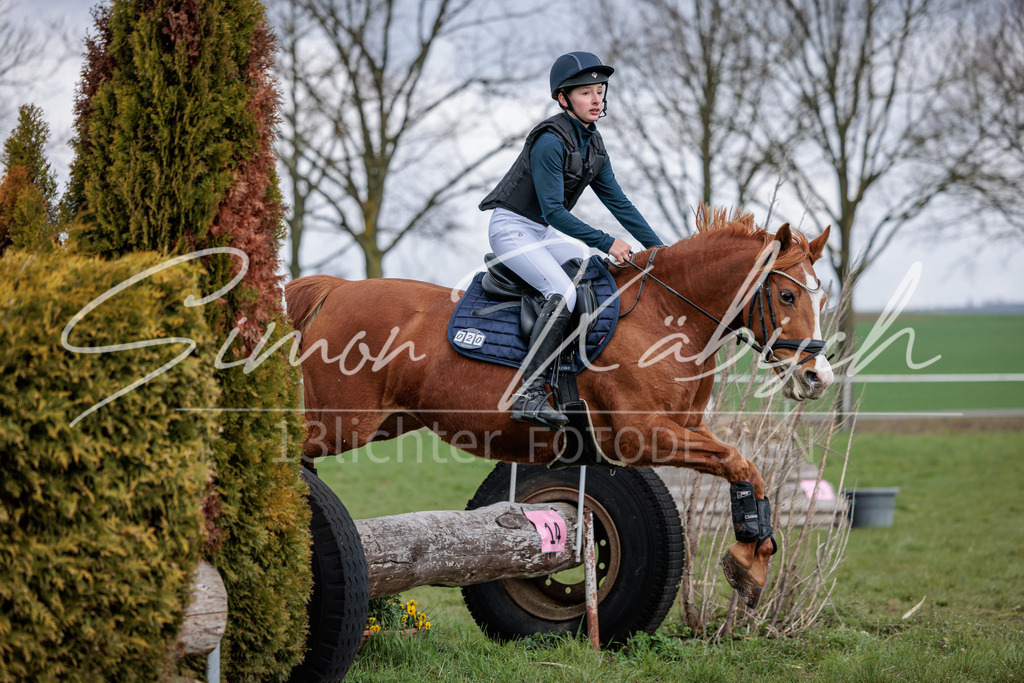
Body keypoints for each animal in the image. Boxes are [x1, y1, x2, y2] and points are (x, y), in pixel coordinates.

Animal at [284, 206, 834, 607]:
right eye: (787, 295)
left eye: (821, 299)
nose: (817, 378)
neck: (665, 315)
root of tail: (337, 289)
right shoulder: (644, 437)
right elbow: (738, 462)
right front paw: (748, 558)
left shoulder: (679, 430)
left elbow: (748, 469)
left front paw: (753, 561)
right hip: (344, 422)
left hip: (384, 421)